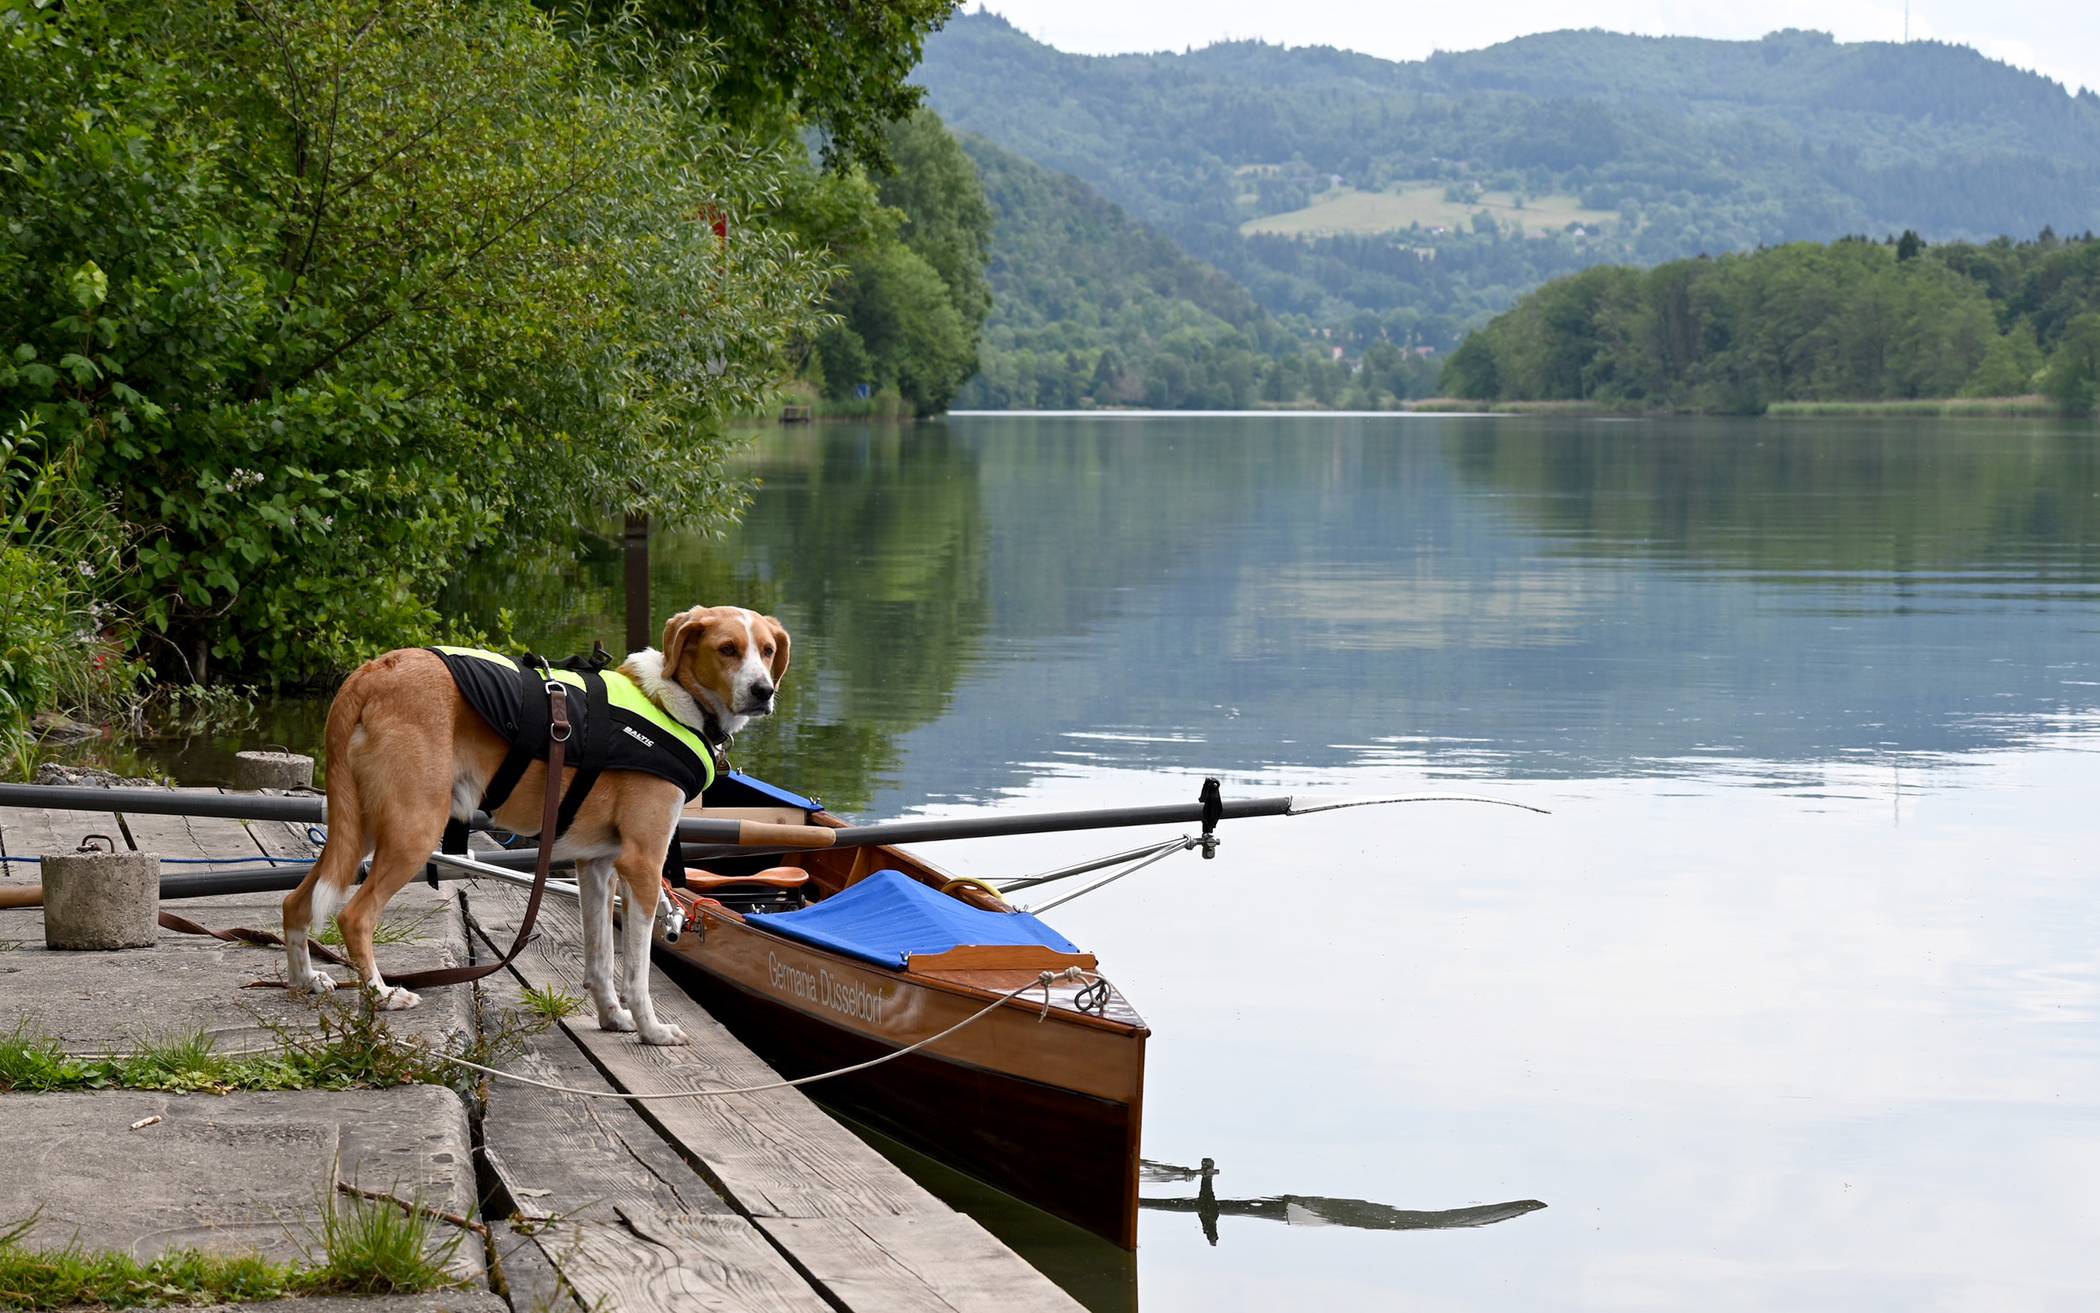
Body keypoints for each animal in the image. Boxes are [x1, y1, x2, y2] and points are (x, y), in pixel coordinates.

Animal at [283, 605, 789, 1046]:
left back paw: (306, 980)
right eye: (727, 649)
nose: (763, 691)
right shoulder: (643, 866)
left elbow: (601, 960)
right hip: (411, 831)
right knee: (354, 916)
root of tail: (371, 672)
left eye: (766, 650)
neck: (671, 702)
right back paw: (382, 993)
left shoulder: (597, 867)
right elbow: (636, 972)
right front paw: (652, 1031)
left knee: (295, 902)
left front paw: (612, 1017)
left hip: (361, 825)